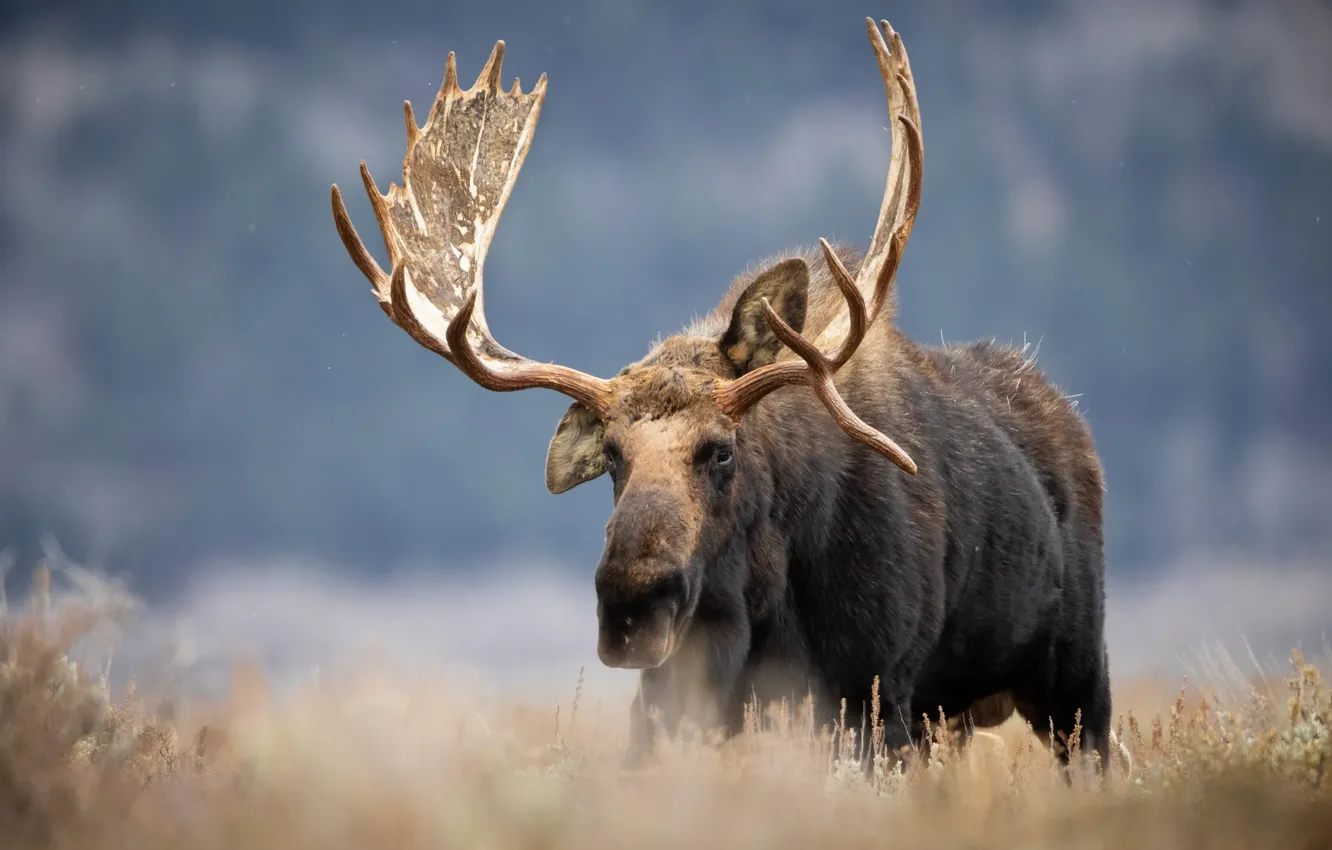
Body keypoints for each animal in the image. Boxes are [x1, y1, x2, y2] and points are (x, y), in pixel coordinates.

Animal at [330, 17, 1114, 774]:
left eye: (722, 451)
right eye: (612, 456)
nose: (631, 608)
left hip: (1073, 682)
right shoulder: (672, 706)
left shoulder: (875, 696)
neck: (762, 601)